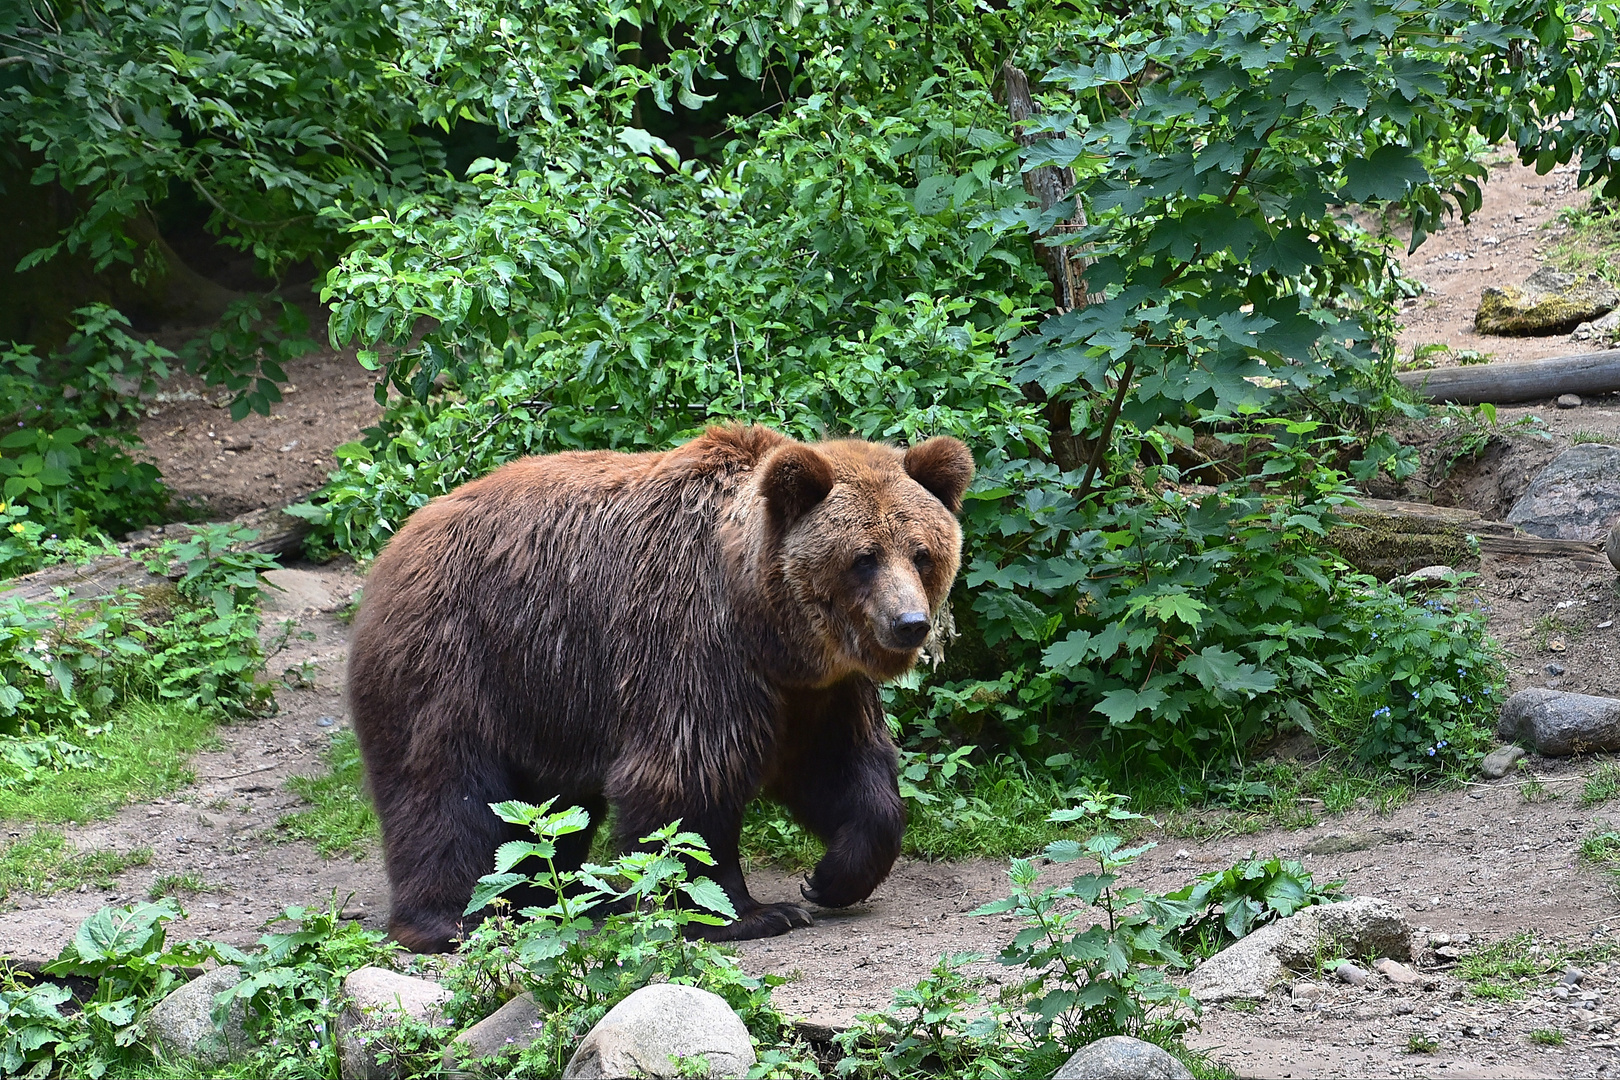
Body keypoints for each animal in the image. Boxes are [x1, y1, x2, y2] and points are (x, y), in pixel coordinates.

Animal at [346, 427, 965, 952]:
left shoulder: (815, 690)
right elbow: (687, 779)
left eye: (921, 552)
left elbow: (847, 770)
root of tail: (392, 548)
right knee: (449, 794)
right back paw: (454, 919)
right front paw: (748, 913)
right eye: (864, 557)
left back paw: (557, 895)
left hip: (550, 697)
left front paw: (828, 878)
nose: (909, 623)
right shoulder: (690, 643)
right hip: (460, 658)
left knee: (551, 809)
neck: (765, 623)